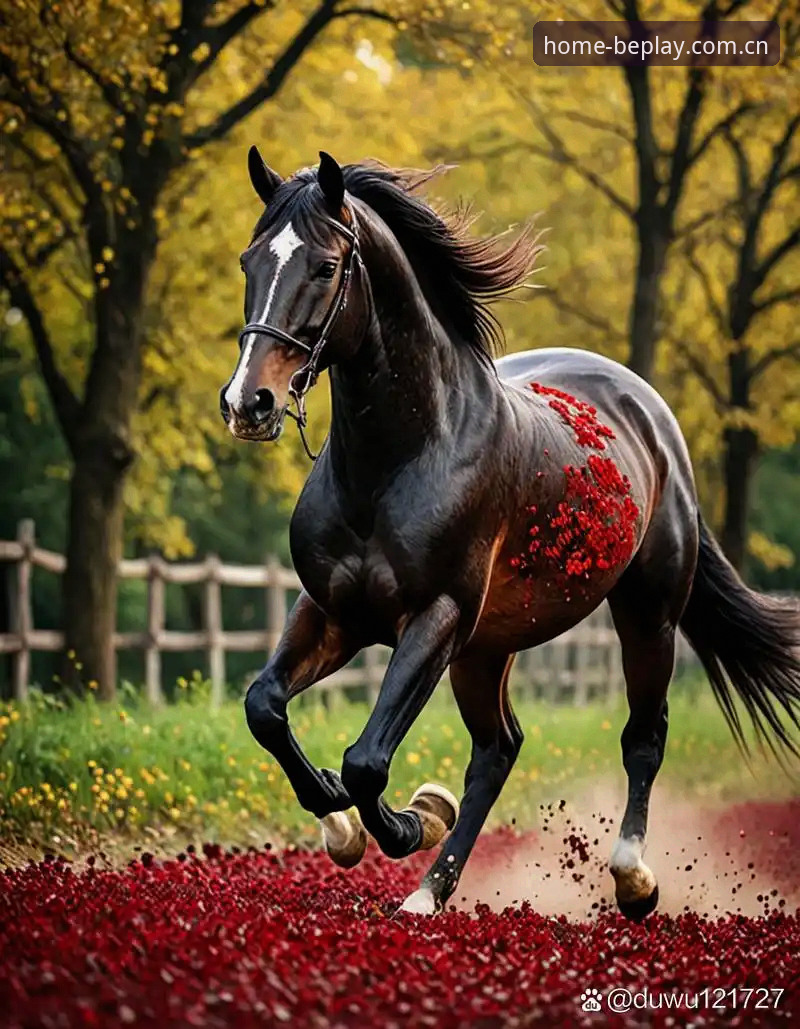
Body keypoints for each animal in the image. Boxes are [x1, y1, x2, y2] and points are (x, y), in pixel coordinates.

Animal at [220, 147, 800, 919]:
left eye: (324, 265)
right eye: (251, 260)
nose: (246, 403)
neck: (397, 460)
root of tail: (651, 415)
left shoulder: (435, 617)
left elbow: (367, 761)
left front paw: (410, 821)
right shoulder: (331, 612)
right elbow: (265, 708)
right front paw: (344, 826)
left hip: (645, 616)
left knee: (642, 737)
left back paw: (631, 879)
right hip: (488, 647)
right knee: (498, 751)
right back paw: (429, 892)